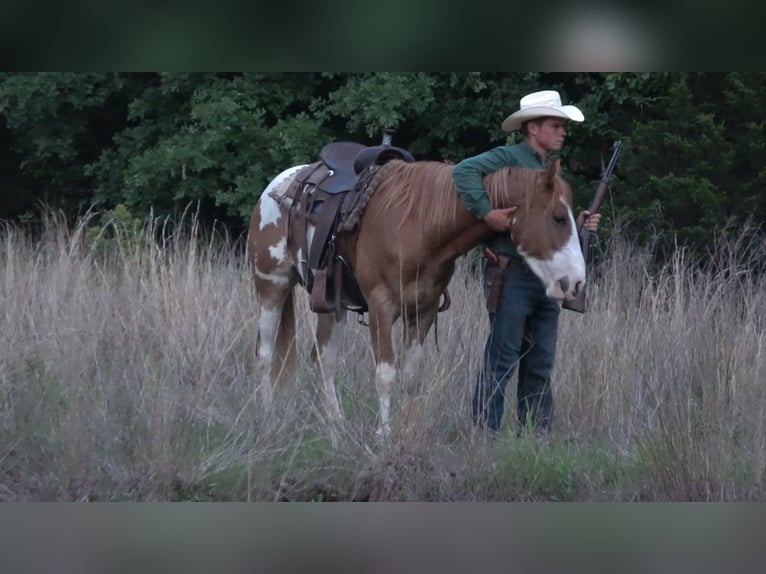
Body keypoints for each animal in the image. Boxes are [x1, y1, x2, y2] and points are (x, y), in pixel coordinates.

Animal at [247, 156, 585, 437]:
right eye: (559, 217)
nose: (577, 283)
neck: (420, 226)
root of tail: (275, 186)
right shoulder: (381, 308)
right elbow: (385, 374)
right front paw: (384, 435)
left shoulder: (423, 311)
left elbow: (411, 375)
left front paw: (405, 431)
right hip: (271, 286)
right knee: (264, 356)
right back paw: (267, 417)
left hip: (332, 304)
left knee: (324, 361)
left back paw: (336, 425)